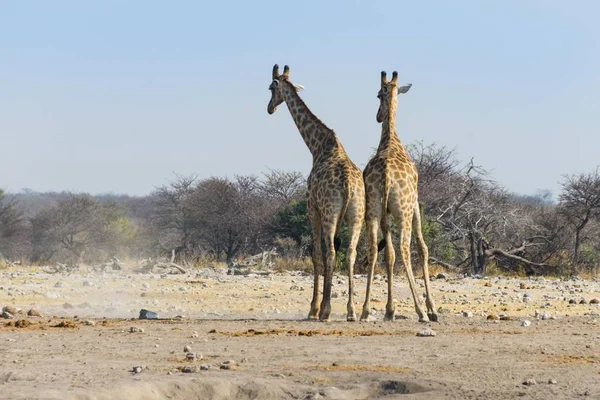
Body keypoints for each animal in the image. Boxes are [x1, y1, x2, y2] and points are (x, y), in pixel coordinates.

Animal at [268, 65, 366, 322]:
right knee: (350, 252)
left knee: (330, 252)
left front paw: (314, 308)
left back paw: (326, 311)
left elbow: (316, 254)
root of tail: (349, 184)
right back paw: (351, 311)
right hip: (357, 214)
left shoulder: (312, 209)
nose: (270, 108)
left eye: (271, 87)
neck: (317, 146)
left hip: (331, 212)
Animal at [358, 71, 438, 322]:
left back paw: (365, 310)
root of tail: (385, 174)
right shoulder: (415, 206)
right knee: (404, 248)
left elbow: (388, 255)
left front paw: (389, 309)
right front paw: (432, 308)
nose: (377, 116)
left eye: (378, 94)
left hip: (372, 210)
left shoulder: (384, 213)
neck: (391, 140)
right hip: (403, 211)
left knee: (374, 249)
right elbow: (423, 248)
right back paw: (421, 311)